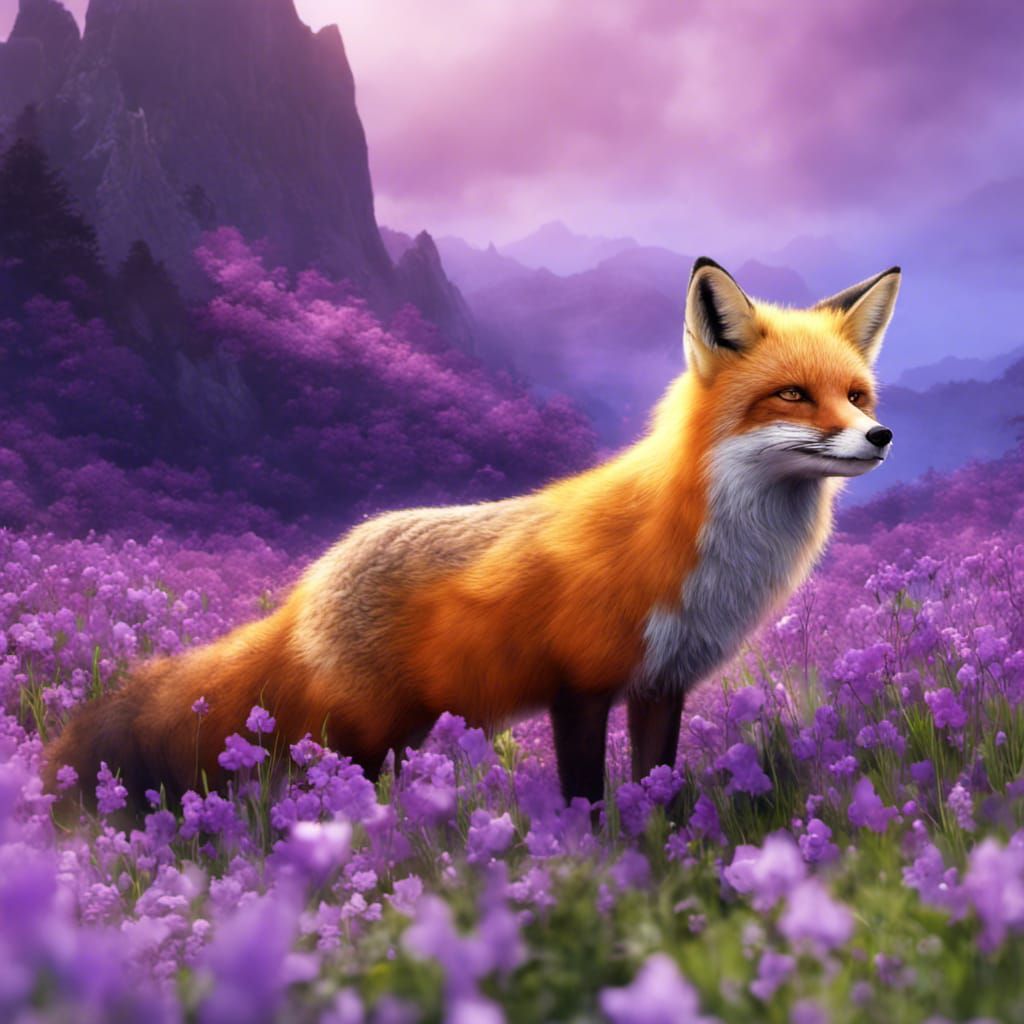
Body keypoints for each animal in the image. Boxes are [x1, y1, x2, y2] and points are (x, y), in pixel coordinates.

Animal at [44, 257, 900, 812]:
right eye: (792, 395)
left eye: (856, 395)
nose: (881, 436)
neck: (702, 543)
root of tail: (307, 586)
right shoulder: (580, 688)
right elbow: (588, 803)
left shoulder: (662, 686)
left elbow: (654, 794)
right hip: (360, 741)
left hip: (407, 733)